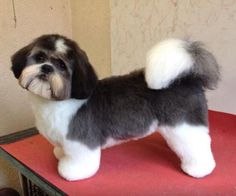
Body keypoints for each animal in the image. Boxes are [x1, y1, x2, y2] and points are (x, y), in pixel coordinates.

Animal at [10, 34, 219, 181]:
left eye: (62, 65)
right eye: (39, 57)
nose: (46, 68)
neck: (57, 101)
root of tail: (188, 79)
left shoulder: (80, 141)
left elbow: (80, 160)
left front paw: (71, 171)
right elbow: (62, 149)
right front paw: (60, 155)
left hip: (183, 125)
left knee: (197, 145)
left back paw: (199, 169)